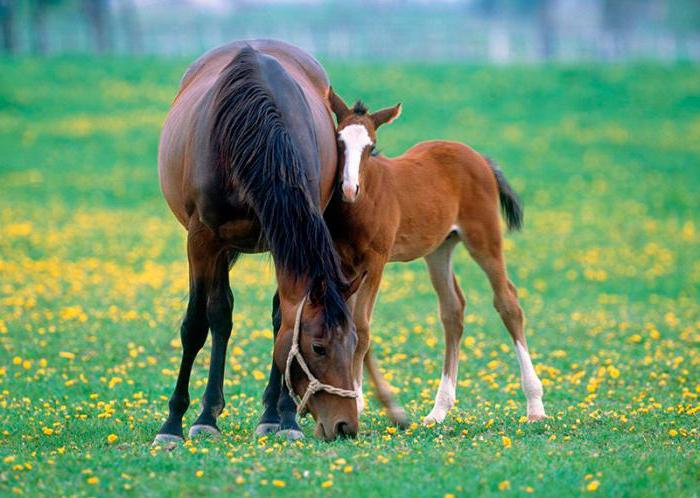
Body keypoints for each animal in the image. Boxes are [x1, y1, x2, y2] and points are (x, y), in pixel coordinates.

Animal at [156, 40, 364, 444]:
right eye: (318, 347)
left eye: (353, 344)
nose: (345, 426)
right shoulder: (202, 239)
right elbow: (196, 325)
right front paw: (173, 422)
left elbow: (284, 319)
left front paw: (285, 418)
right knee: (220, 315)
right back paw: (207, 414)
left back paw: (269, 414)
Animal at [322, 89, 548, 424]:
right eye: (338, 141)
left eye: (371, 146)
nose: (349, 189)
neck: (361, 205)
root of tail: (478, 157)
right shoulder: (343, 263)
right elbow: (347, 325)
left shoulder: (376, 263)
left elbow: (362, 329)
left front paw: (358, 403)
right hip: (439, 249)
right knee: (453, 311)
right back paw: (438, 410)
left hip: (484, 238)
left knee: (508, 303)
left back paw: (535, 405)